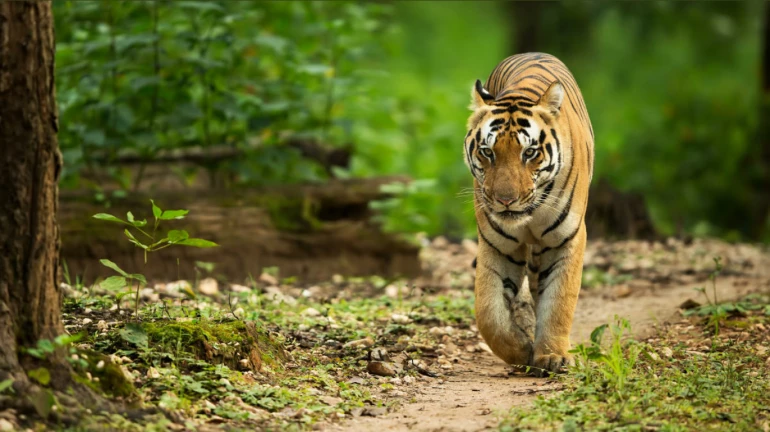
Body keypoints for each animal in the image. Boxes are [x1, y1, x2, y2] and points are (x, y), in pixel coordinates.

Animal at [463, 52, 593, 375]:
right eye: (487, 152)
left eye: (530, 153)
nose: (505, 200)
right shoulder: (498, 245)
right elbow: (489, 312)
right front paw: (521, 350)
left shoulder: (567, 239)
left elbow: (559, 300)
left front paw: (552, 356)